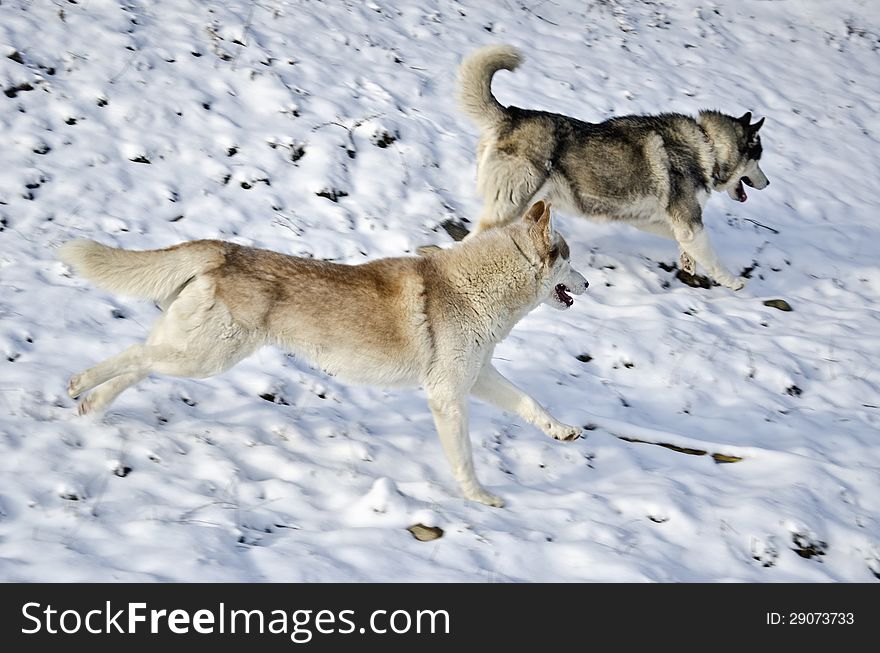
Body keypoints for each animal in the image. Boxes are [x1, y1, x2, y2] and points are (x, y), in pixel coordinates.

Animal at [58, 201, 588, 506]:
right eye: (568, 258)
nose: (588, 285)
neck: (476, 287)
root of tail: (223, 250)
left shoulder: (476, 378)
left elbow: (531, 405)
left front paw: (563, 432)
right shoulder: (448, 395)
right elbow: (465, 459)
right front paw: (479, 498)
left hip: (191, 353)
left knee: (138, 361)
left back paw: (89, 405)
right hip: (203, 358)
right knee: (133, 356)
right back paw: (78, 387)